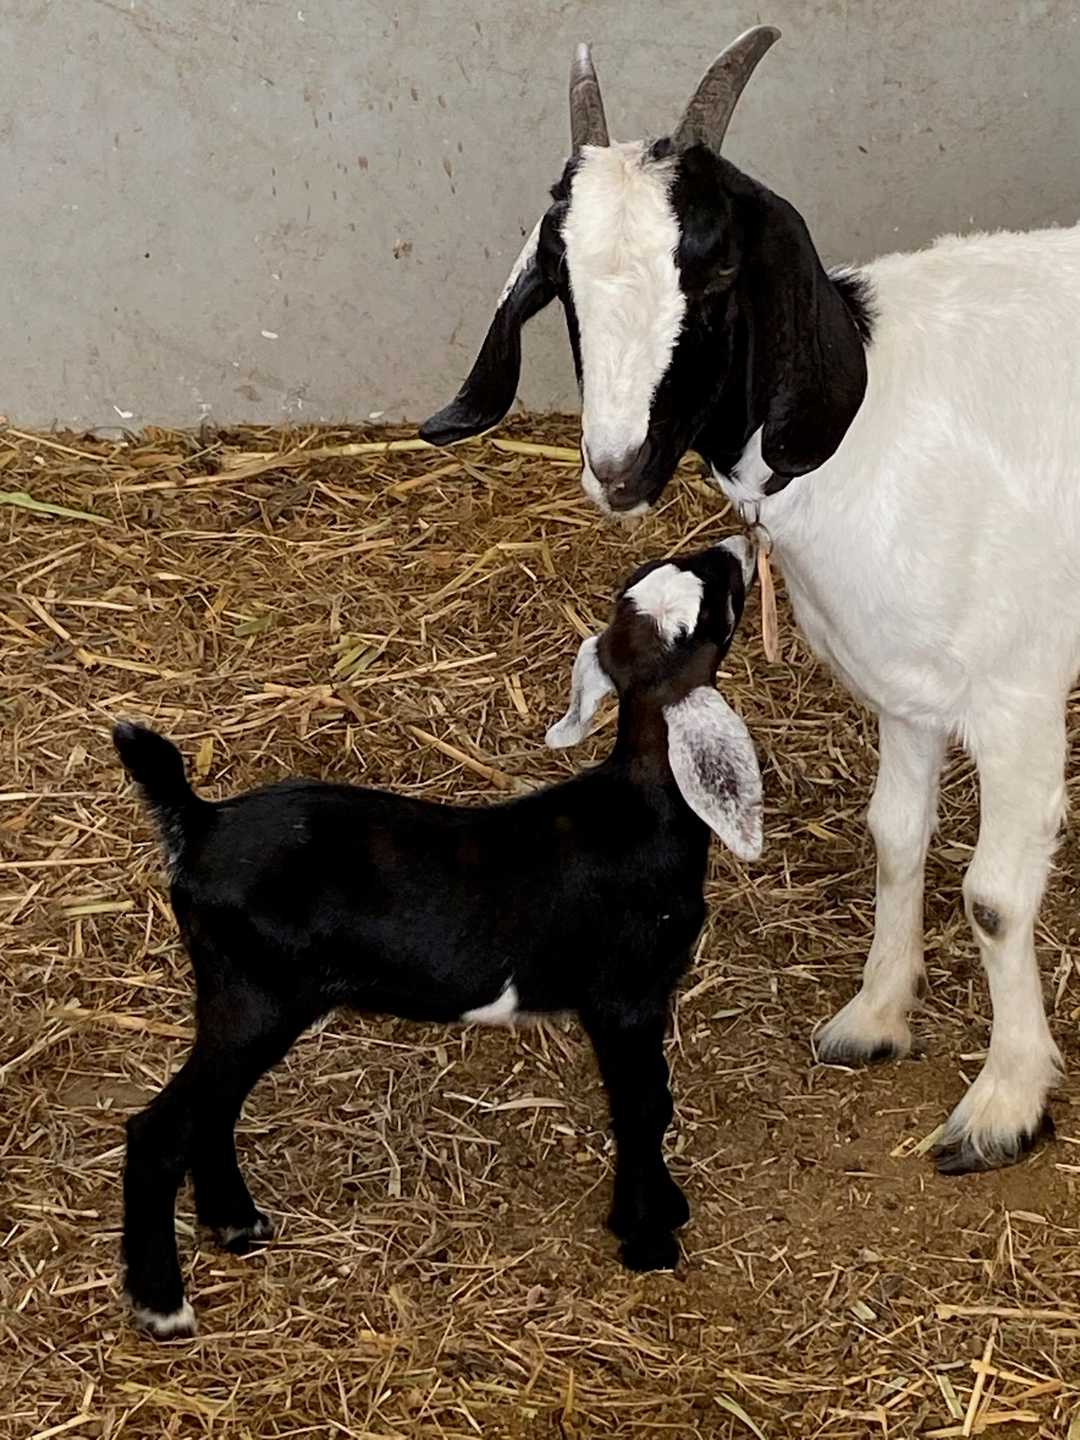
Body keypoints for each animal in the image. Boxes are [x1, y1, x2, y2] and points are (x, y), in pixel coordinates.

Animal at [114, 539, 761, 1339]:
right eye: (711, 610)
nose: (737, 545)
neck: (641, 808)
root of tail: (198, 821)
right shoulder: (624, 999)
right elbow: (642, 1104)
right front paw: (647, 1237)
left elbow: (654, 1100)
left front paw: (663, 1210)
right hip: (256, 996)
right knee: (160, 1130)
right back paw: (163, 1305)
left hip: (242, 1000)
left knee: (214, 1107)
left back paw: (237, 1224)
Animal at [420, 25, 1076, 1174]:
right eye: (562, 277)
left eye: (717, 262)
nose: (619, 470)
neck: (875, 421)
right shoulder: (906, 688)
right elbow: (895, 835)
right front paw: (874, 1018)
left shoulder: (1018, 698)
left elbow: (995, 900)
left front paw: (1004, 1103)